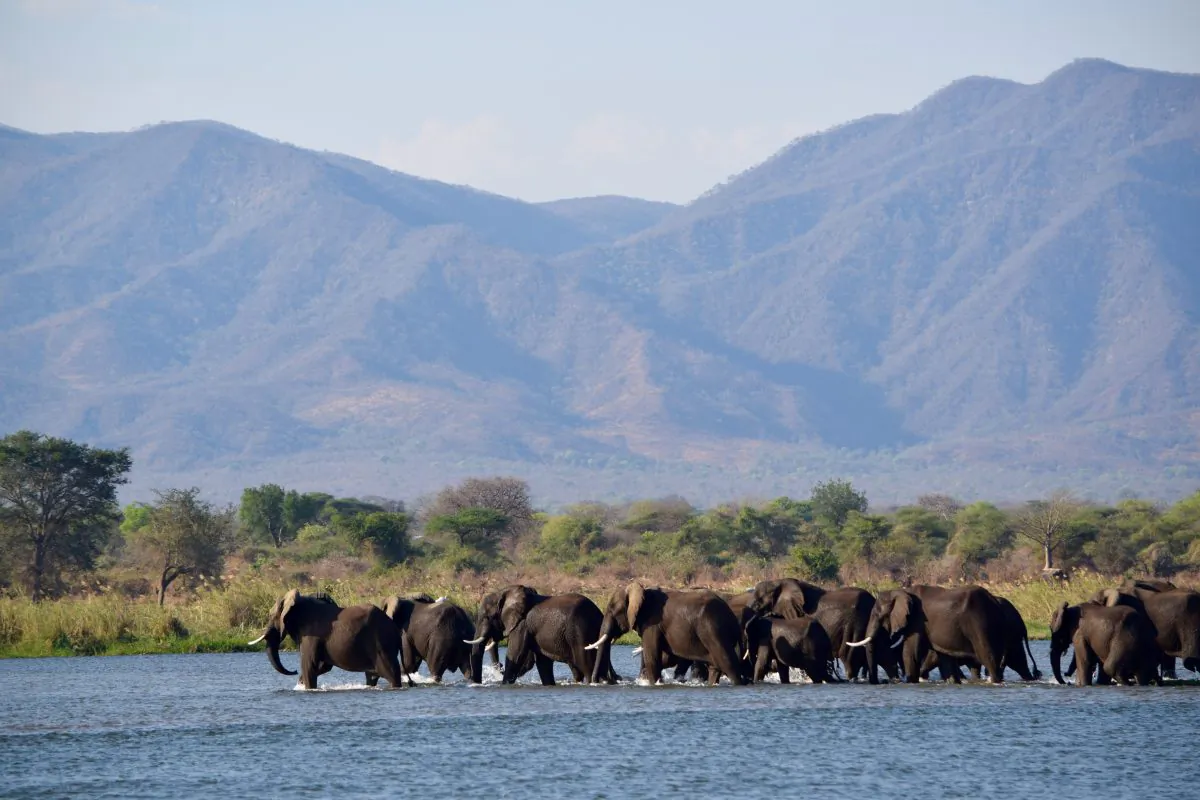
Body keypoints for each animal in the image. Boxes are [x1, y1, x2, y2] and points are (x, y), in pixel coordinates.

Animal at [248, 589, 404, 690]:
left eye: (271, 615)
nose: (294, 671)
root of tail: (394, 627)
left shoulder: (311, 635)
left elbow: (309, 665)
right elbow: (323, 666)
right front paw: (300, 683)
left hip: (382, 644)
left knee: (391, 673)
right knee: (371, 676)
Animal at [467, 585, 615, 685]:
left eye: (487, 617)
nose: (477, 682)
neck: (504, 592)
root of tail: (598, 613)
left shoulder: (522, 625)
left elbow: (515, 656)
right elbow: (543, 663)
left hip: (579, 632)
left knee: (586, 665)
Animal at [589, 582, 747, 686]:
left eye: (612, 610)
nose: (597, 681)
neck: (640, 590)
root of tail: (732, 618)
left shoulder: (652, 623)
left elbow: (652, 657)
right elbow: (667, 658)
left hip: (713, 630)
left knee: (728, 664)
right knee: (715, 667)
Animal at [848, 585, 1007, 683]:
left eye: (877, 614)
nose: (878, 682)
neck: (900, 591)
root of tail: (995, 601)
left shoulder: (917, 620)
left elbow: (910, 653)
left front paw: (910, 682)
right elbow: (945, 660)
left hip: (980, 622)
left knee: (987, 655)